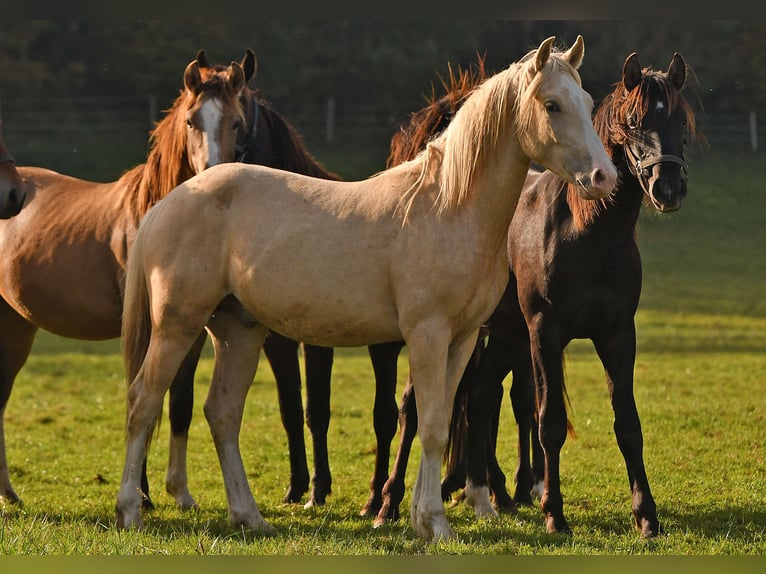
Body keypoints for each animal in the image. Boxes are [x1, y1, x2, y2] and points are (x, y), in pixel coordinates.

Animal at [0, 50, 250, 508]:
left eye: (237, 122)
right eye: (192, 121)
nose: (213, 173)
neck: (153, 214)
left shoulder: (189, 330)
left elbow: (180, 402)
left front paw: (180, 493)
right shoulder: (146, 326)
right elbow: (141, 395)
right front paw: (144, 495)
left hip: (17, 326)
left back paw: (8, 491)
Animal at [114, 37, 616, 544]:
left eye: (587, 100)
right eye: (551, 105)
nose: (604, 178)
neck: (449, 205)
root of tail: (170, 202)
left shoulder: (463, 339)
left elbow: (439, 420)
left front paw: (420, 517)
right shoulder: (427, 335)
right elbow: (429, 426)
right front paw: (433, 521)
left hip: (239, 333)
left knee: (222, 414)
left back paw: (248, 516)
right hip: (177, 327)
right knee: (144, 402)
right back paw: (130, 511)